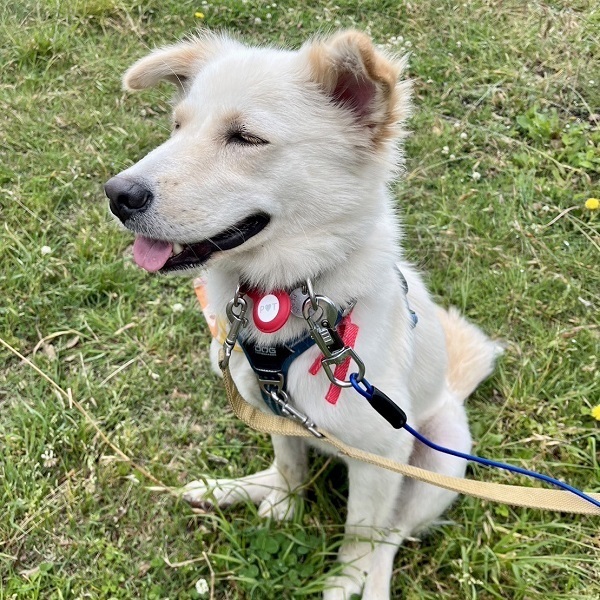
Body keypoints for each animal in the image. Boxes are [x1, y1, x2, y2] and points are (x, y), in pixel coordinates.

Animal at [104, 30, 500, 600]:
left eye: (246, 138)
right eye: (178, 126)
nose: (117, 194)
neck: (290, 296)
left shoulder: (383, 456)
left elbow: (361, 534)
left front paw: (344, 580)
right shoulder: (270, 409)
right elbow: (290, 468)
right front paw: (286, 507)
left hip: (439, 456)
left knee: (391, 537)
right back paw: (229, 489)